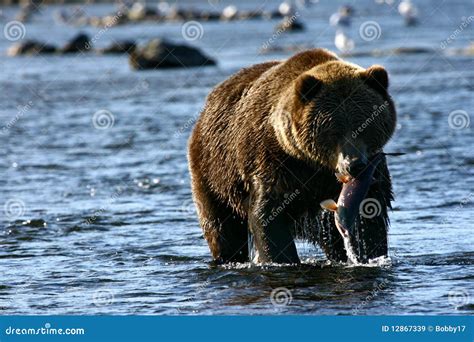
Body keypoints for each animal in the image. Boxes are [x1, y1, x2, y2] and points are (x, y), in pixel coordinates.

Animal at [189, 49, 396, 264]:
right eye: (334, 130)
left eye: (365, 125)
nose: (354, 165)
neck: (314, 164)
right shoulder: (273, 163)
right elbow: (268, 215)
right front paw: (282, 258)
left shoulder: (371, 170)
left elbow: (370, 216)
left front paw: (369, 254)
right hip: (215, 174)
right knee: (222, 229)